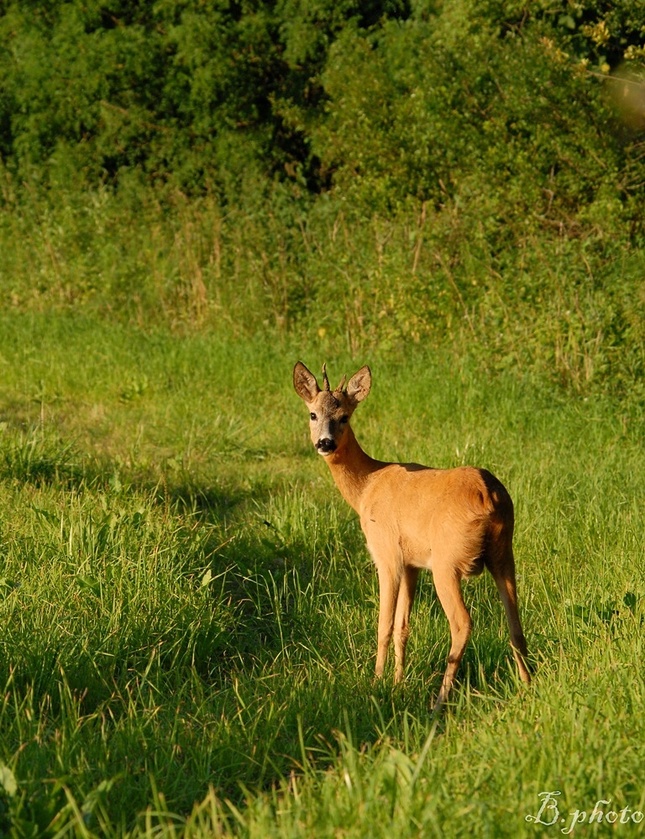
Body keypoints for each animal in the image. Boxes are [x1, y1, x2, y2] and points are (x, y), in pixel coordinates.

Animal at [292, 358, 528, 712]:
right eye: (312, 414)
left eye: (344, 416)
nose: (325, 443)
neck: (367, 486)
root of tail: (488, 495)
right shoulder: (412, 562)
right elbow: (403, 626)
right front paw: (397, 682)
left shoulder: (386, 553)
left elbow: (384, 625)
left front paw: (375, 682)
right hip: (504, 553)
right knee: (515, 623)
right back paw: (528, 685)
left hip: (447, 561)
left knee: (462, 623)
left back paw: (439, 701)